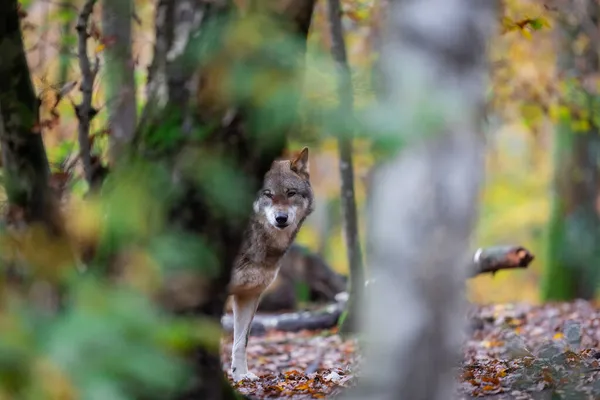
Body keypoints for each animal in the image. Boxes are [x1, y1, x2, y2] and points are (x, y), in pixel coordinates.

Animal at [227, 147, 316, 382]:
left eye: (291, 193)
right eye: (267, 194)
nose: (281, 218)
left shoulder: (249, 294)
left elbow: (241, 342)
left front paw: (241, 377)